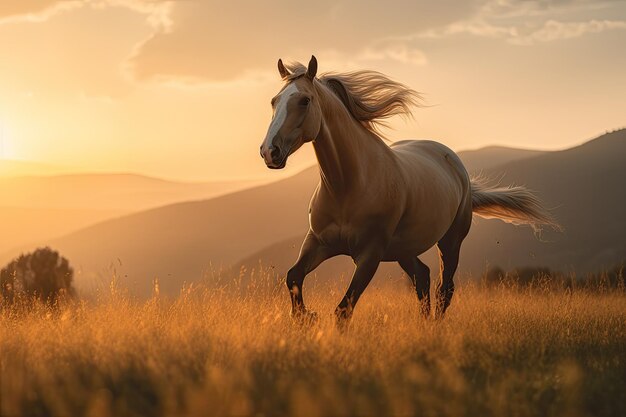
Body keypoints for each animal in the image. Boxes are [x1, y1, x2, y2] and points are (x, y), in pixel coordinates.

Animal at [258, 55, 556, 322]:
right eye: (274, 101)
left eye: (304, 100)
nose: (269, 152)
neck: (348, 186)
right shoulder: (318, 243)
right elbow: (293, 277)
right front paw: (306, 316)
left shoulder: (370, 255)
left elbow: (343, 310)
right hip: (403, 250)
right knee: (422, 278)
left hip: (450, 241)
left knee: (444, 289)